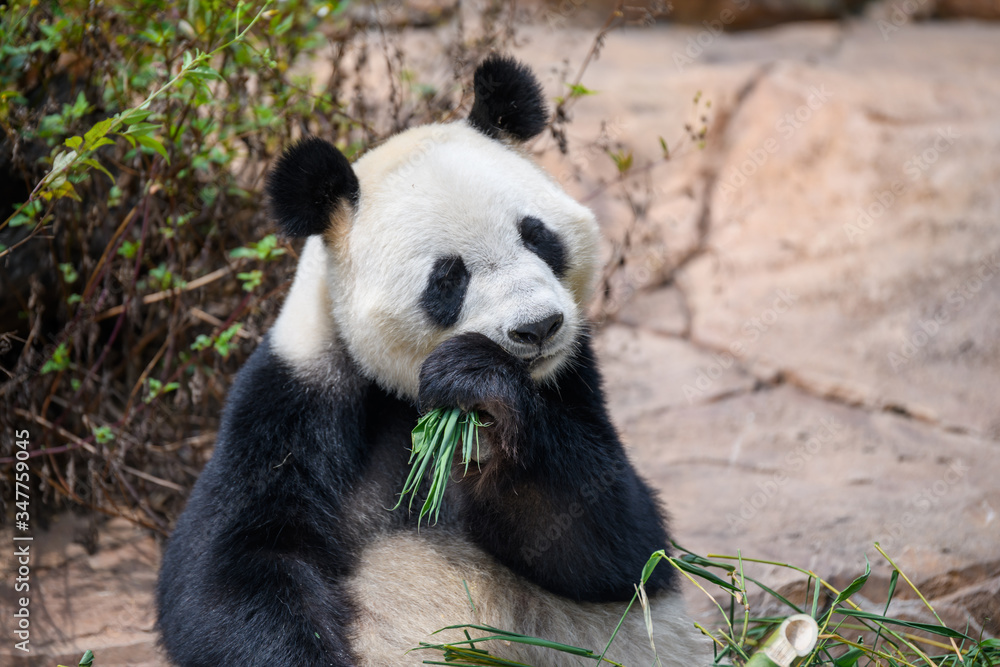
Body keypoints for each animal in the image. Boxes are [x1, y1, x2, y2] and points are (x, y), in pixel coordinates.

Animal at [156, 55, 709, 667]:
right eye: (448, 277)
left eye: (538, 236)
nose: (538, 327)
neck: (406, 393)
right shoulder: (294, 399)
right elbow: (233, 565)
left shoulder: (573, 380)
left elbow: (619, 546)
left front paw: (480, 388)